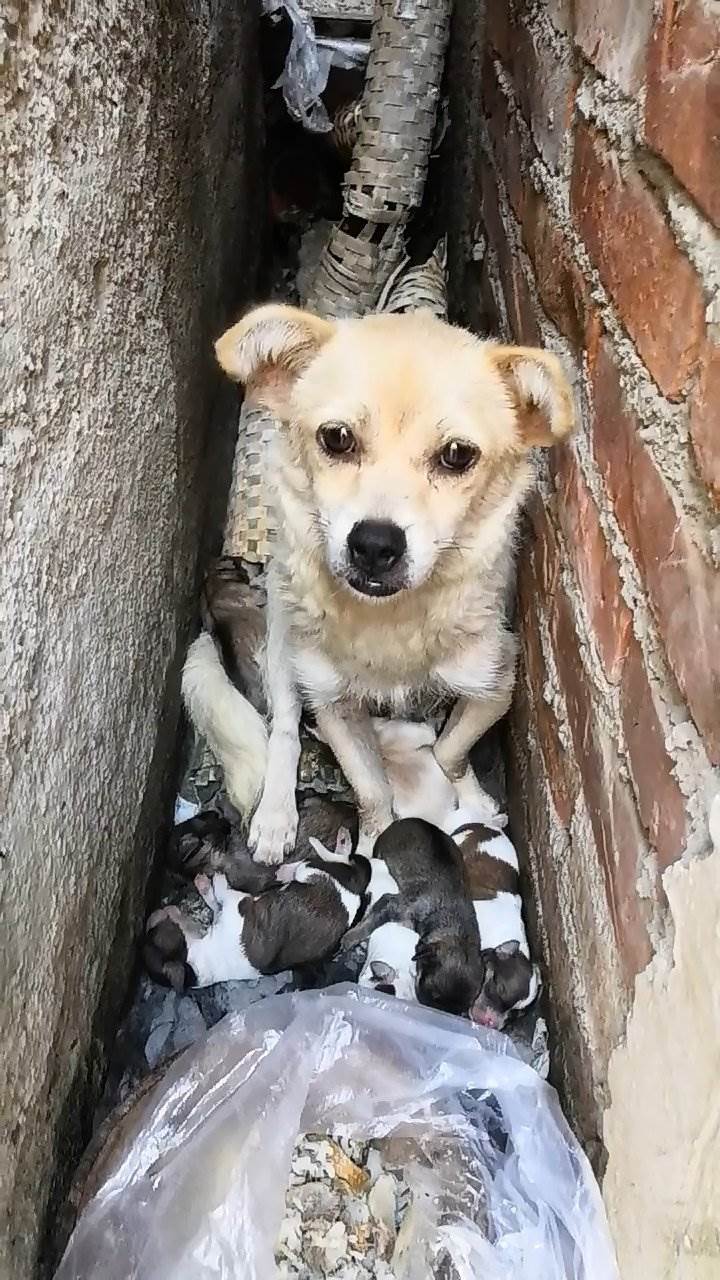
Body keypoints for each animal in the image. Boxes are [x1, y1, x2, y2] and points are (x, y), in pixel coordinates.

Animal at [185, 302, 571, 860]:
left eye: (458, 454)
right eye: (337, 438)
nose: (373, 544)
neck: (389, 625)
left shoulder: (496, 684)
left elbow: (450, 750)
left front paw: (474, 799)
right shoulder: (333, 705)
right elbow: (370, 789)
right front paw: (371, 845)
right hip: (285, 643)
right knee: (283, 726)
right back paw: (276, 816)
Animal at [335, 819, 481, 1018]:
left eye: (459, 1011)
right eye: (432, 994)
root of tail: (402, 821)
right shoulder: (393, 904)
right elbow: (370, 922)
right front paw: (351, 938)